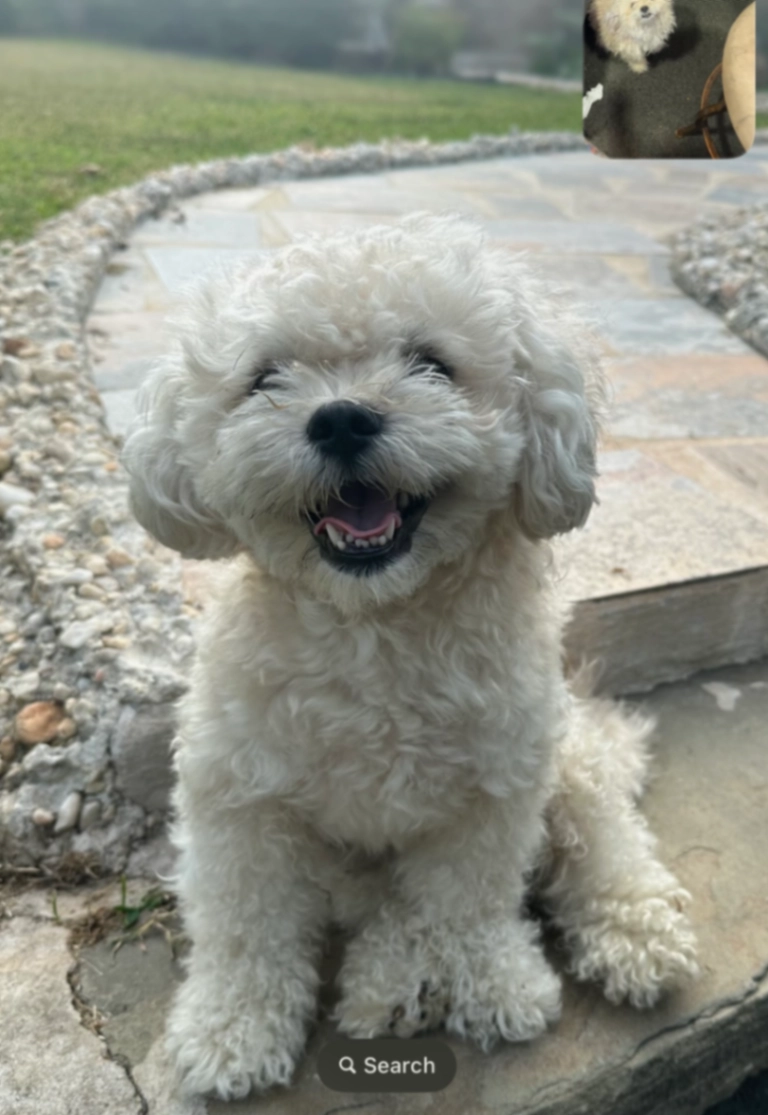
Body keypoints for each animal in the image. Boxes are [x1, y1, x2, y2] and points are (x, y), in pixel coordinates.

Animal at [123, 215, 698, 1100]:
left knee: (600, 837)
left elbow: (469, 902)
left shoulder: (492, 796)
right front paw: (231, 1029)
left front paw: (493, 979)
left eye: (431, 361)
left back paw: (624, 934)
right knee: (384, 908)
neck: (379, 630)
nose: (341, 419)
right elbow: (246, 925)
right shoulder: (241, 802)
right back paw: (391, 984)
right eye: (265, 378)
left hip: (566, 759)